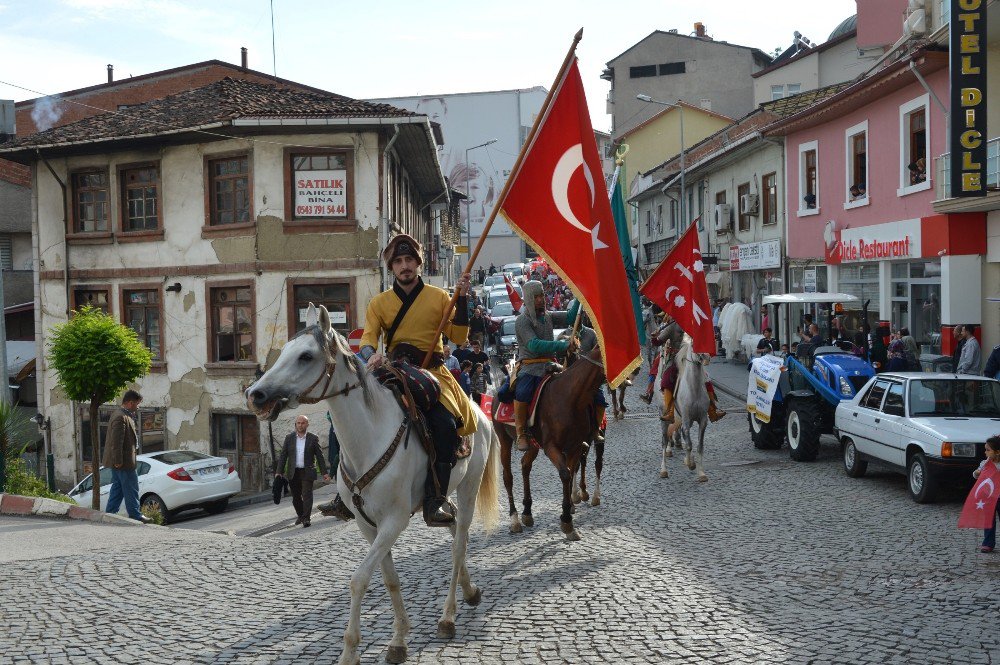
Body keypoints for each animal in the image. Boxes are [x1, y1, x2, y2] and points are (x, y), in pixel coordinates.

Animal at [245, 304, 500, 660]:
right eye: (283, 352)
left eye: (306, 356)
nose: (256, 395)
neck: (368, 438)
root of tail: (477, 409)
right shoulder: (368, 526)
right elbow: (389, 578)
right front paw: (399, 638)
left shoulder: (393, 521)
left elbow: (359, 579)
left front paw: (351, 650)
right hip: (441, 500)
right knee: (452, 534)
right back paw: (469, 589)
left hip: (469, 489)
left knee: (458, 545)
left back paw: (448, 617)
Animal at [494, 344, 604, 544]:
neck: (570, 399)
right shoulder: (552, 448)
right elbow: (565, 474)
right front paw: (567, 521)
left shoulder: (575, 446)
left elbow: (570, 473)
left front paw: (569, 513)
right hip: (504, 440)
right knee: (508, 477)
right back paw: (515, 519)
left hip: (533, 445)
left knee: (525, 465)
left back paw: (527, 512)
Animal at [656, 340, 712, 480]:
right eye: (695, 345)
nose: (706, 357)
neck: (694, 389)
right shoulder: (686, 418)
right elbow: (689, 444)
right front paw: (691, 464)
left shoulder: (702, 420)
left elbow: (699, 446)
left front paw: (701, 473)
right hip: (665, 418)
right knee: (664, 440)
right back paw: (663, 470)